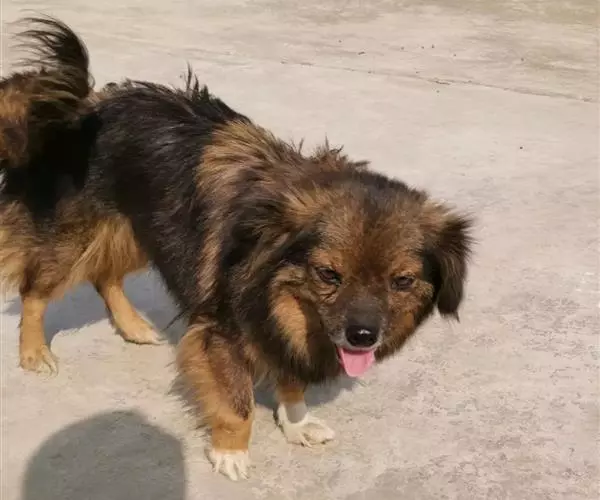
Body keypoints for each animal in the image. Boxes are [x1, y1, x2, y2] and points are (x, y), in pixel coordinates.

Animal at [1, 17, 473, 480]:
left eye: (402, 281)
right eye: (328, 274)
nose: (362, 337)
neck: (269, 264)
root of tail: (81, 106)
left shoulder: (280, 329)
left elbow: (291, 382)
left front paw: (296, 423)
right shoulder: (222, 331)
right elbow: (237, 405)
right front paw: (230, 451)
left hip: (143, 228)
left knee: (105, 275)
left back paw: (133, 327)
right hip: (76, 235)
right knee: (35, 291)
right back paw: (34, 351)